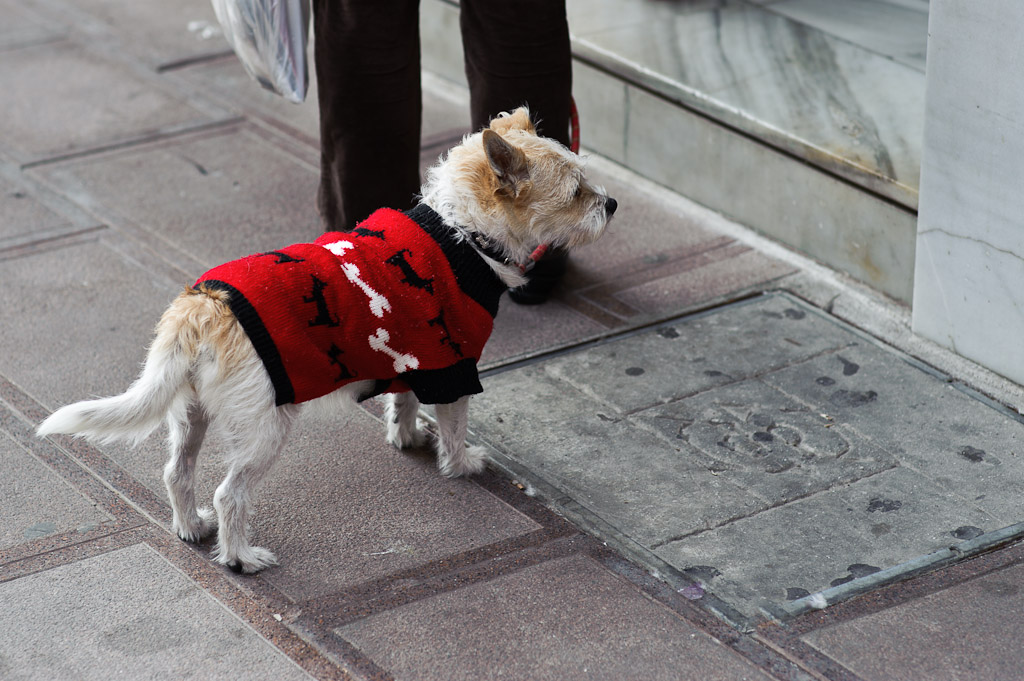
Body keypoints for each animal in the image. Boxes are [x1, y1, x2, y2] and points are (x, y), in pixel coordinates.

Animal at [36, 106, 614, 573]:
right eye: (576, 192)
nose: (610, 204)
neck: (459, 233)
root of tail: (201, 306)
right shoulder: (453, 367)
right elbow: (453, 426)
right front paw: (461, 464)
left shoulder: (413, 355)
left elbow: (404, 401)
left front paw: (406, 436)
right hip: (265, 428)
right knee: (229, 494)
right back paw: (239, 556)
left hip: (189, 412)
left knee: (177, 472)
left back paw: (191, 527)